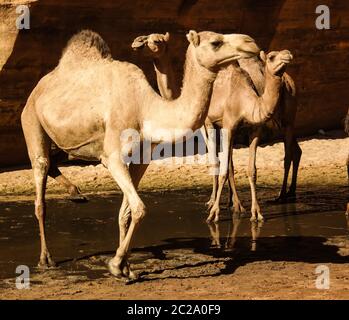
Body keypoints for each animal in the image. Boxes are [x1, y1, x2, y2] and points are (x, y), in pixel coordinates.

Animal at [20, 29, 260, 280]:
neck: (146, 110)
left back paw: (76, 194)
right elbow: (139, 208)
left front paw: (127, 267)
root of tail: (37, 89)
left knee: (54, 163)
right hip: (31, 121)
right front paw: (116, 265)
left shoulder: (140, 160)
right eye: (215, 42)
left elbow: (125, 213)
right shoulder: (113, 158)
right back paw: (46, 259)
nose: (251, 43)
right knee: (41, 186)